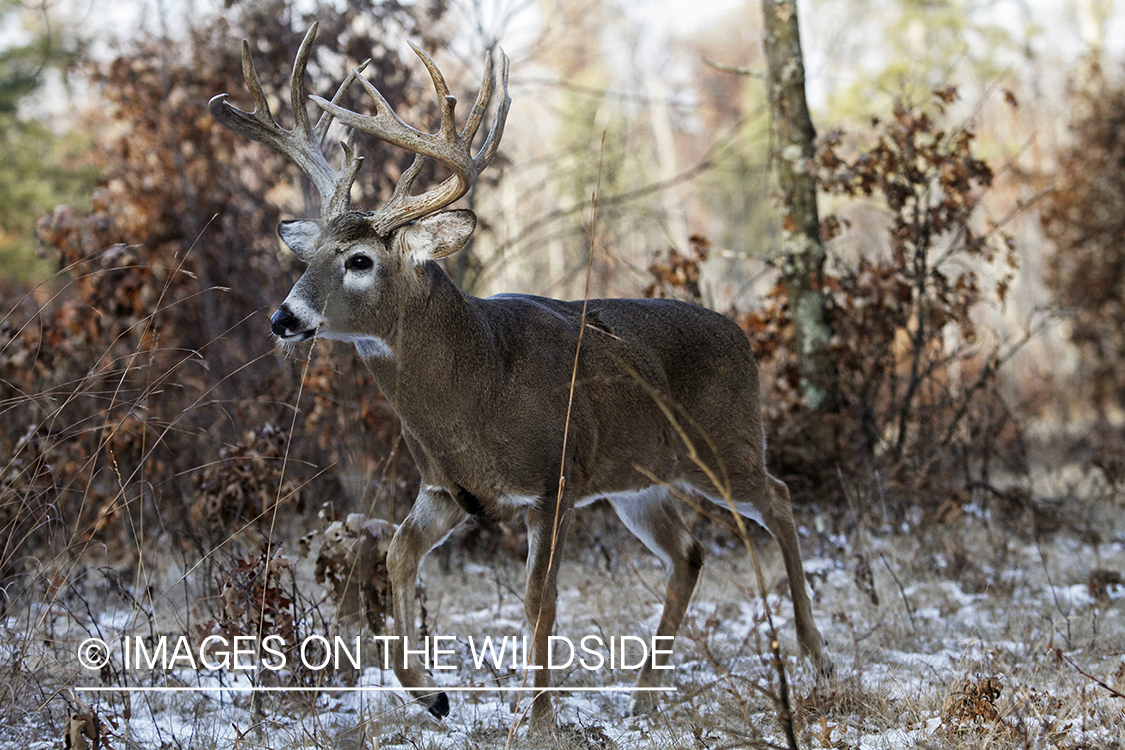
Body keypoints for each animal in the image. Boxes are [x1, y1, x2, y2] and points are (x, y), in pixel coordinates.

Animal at [211, 22, 832, 728]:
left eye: (361, 260)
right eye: (309, 254)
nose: (284, 318)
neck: (481, 386)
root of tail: (743, 337)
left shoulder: (554, 480)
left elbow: (541, 598)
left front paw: (538, 717)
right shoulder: (447, 487)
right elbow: (396, 553)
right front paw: (432, 693)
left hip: (724, 447)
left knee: (779, 499)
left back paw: (815, 658)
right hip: (638, 480)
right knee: (690, 551)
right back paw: (645, 694)